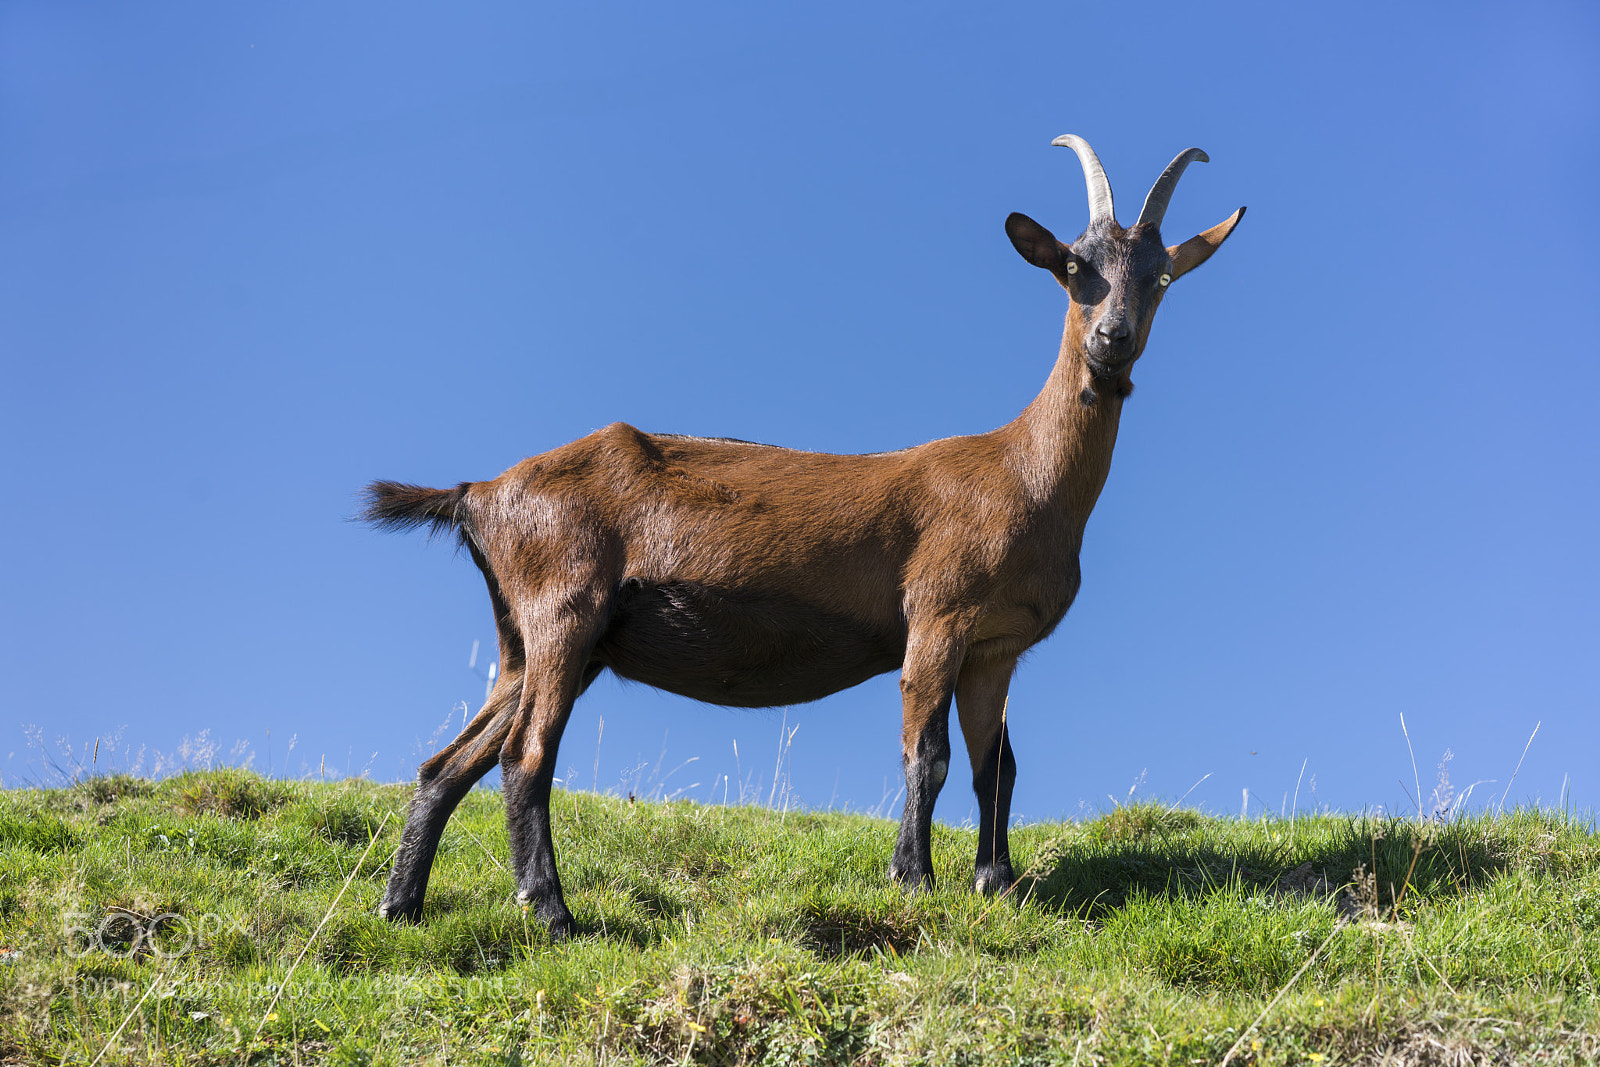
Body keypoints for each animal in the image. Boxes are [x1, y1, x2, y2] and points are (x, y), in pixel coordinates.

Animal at [363, 135, 1244, 937]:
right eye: (1074, 268)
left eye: (1160, 276)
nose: (1111, 340)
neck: (1021, 472)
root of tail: (481, 493)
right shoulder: (939, 615)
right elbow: (927, 753)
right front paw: (914, 879)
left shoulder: (996, 646)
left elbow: (999, 766)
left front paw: (997, 882)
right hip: (563, 607)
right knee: (526, 755)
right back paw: (551, 912)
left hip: (530, 636)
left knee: (448, 763)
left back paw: (401, 905)